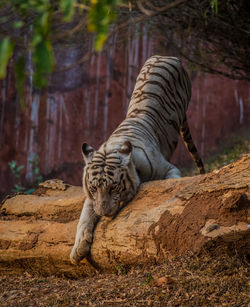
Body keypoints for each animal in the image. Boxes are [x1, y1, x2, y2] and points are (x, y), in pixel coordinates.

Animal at [70, 55, 205, 264]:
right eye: (93, 188)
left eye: (113, 188)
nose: (103, 213)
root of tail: (166, 56)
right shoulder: (90, 197)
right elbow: (84, 215)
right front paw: (78, 249)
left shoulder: (169, 168)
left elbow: (170, 184)